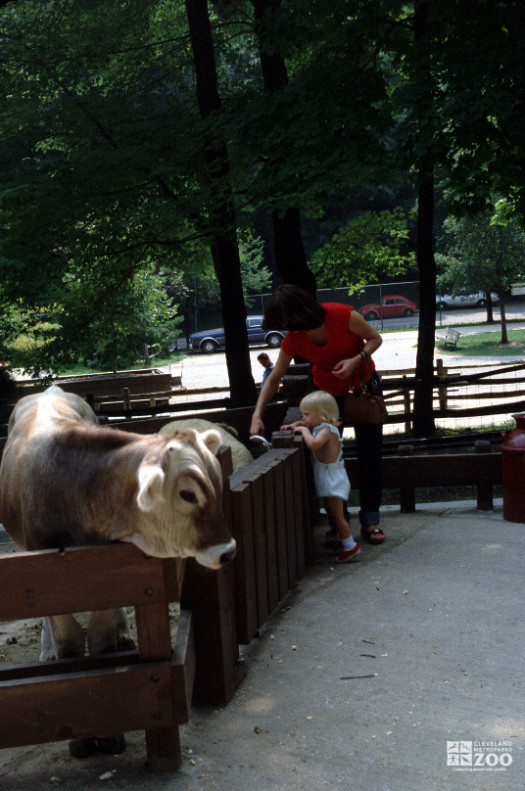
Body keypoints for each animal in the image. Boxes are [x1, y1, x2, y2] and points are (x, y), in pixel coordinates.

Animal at [0, 384, 235, 664]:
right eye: (188, 495)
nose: (227, 552)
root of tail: (50, 390)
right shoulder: (41, 573)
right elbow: (67, 640)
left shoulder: (112, 573)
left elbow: (101, 638)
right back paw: (47, 652)